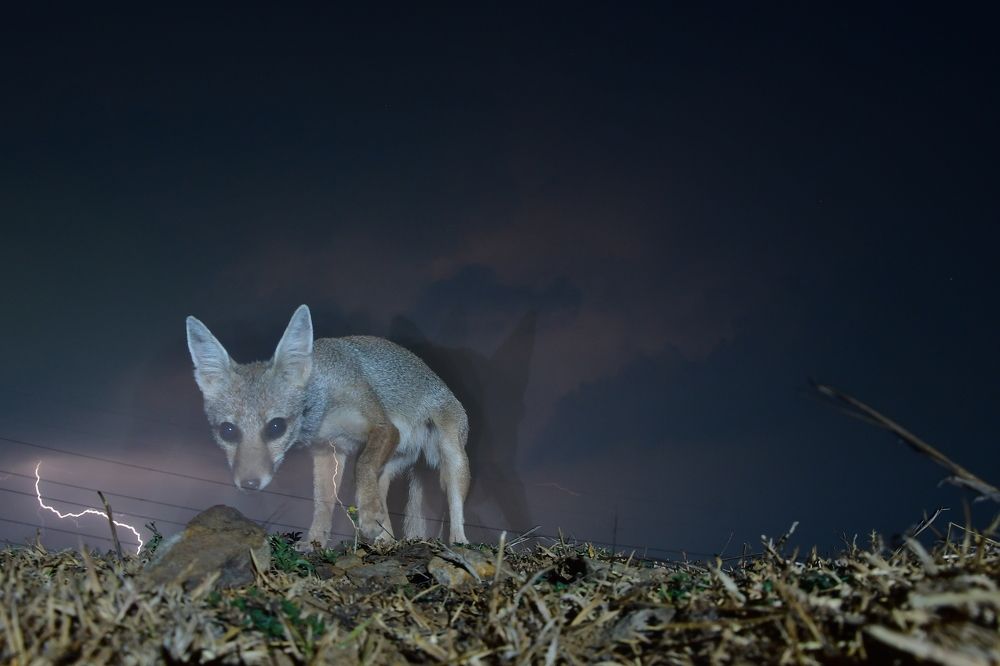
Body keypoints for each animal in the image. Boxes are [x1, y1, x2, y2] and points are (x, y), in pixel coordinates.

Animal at [184, 304, 471, 545]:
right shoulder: (327, 451)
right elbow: (323, 504)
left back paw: (458, 543)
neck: (323, 410)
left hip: (452, 460)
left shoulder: (385, 428)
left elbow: (361, 466)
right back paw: (386, 542)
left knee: (455, 511)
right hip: (391, 466)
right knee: (386, 508)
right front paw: (314, 544)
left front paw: (367, 515)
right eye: (228, 431)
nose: (249, 484)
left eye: (276, 427)